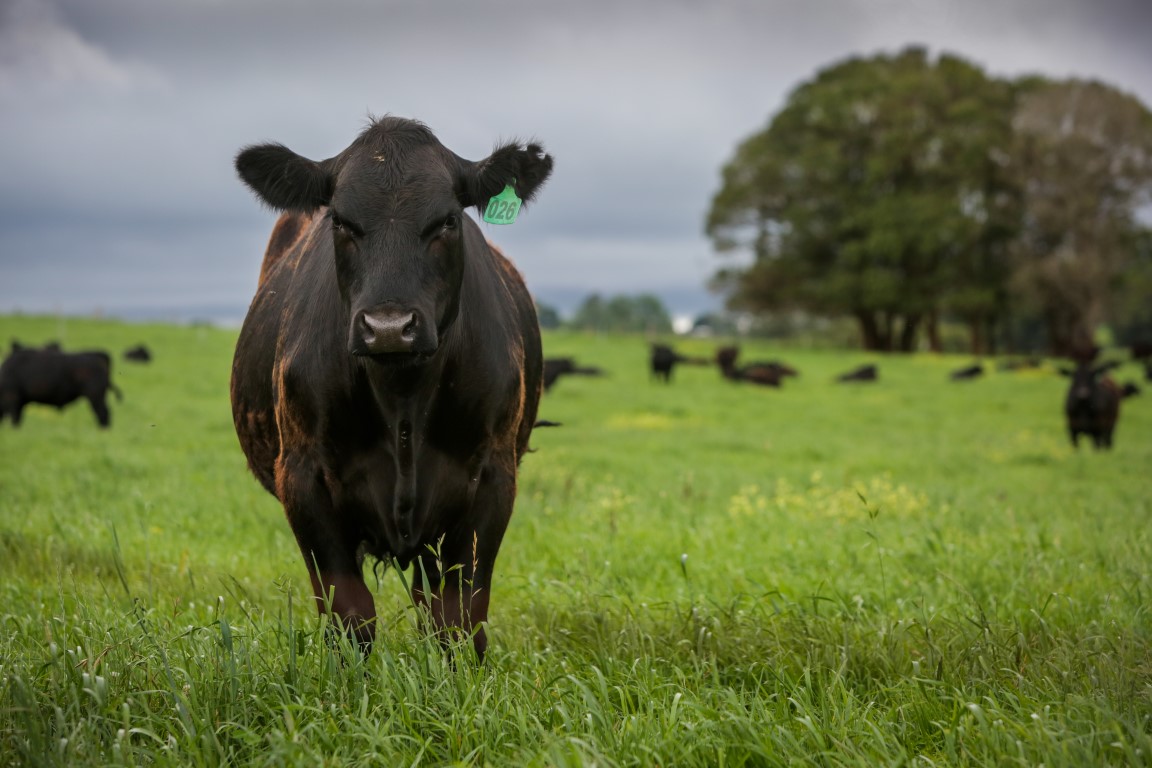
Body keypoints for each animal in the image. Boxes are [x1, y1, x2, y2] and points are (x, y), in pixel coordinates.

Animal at [230, 116, 553, 660]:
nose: (387, 327)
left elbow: (459, 616)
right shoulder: (302, 476)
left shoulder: (493, 476)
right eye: (340, 221)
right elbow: (351, 615)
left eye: (447, 220)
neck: (403, 395)